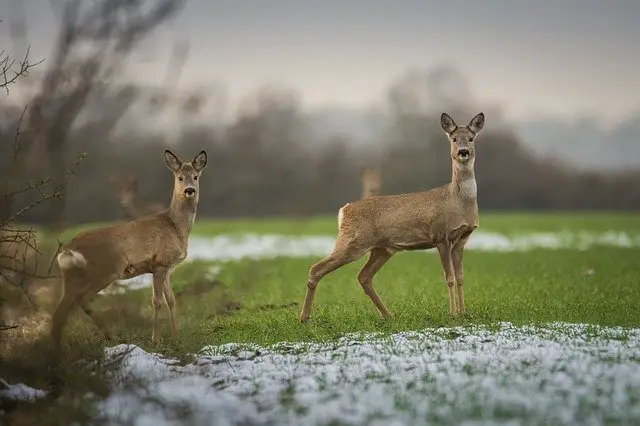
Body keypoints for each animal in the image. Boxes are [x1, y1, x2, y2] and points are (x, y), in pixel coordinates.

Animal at [53, 148, 208, 354]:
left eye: (195, 176)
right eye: (180, 177)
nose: (189, 190)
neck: (176, 227)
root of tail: (71, 248)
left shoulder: (167, 267)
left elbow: (171, 299)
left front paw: (176, 337)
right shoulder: (159, 264)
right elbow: (157, 301)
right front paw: (156, 341)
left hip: (71, 276)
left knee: (58, 314)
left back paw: (59, 352)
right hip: (106, 269)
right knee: (82, 298)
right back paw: (110, 337)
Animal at [300, 111, 484, 322]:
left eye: (471, 138)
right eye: (454, 139)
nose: (463, 151)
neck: (458, 201)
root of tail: (343, 210)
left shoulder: (462, 239)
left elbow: (461, 278)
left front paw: (464, 313)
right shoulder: (441, 236)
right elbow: (450, 278)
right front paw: (453, 314)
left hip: (382, 249)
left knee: (364, 276)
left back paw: (388, 315)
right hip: (353, 242)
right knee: (316, 268)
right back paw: (304, 318)